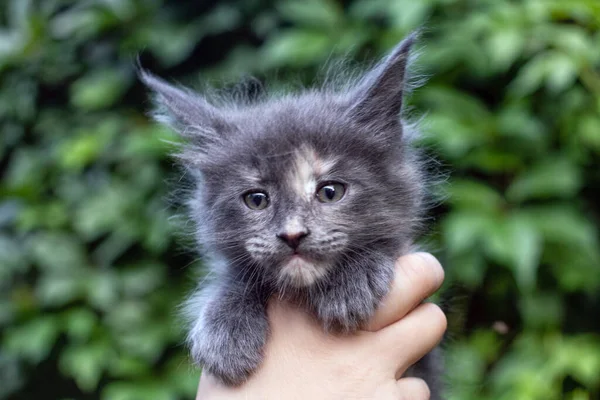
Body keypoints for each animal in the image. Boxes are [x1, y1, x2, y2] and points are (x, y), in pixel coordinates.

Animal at [139, 32, 440, 396]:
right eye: (256, 200)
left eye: (330, 192)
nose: (293, 234)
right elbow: (236, 278)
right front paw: (225, 330)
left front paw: (354, 279)